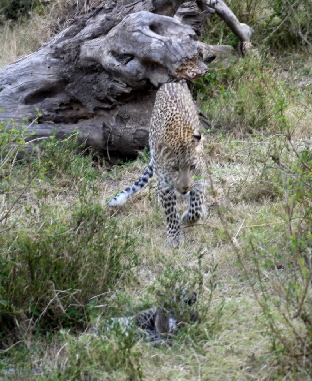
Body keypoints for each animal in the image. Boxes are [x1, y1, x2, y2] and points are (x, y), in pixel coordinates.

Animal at [107, 81, 207, 246]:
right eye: (175, 168)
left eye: (192, 167)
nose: (185, 187)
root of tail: (171, 82)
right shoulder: (165, 185)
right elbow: (171, 214)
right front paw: (174, 237)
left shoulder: (199, 178)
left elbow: (196, 205)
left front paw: (189, 217)